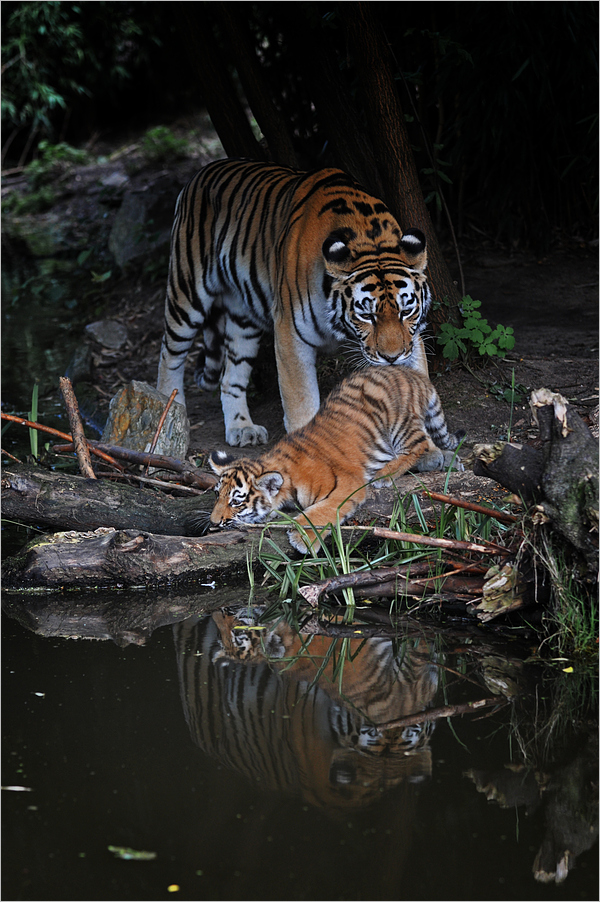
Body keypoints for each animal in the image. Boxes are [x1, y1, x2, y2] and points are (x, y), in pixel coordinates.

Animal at [155, 162, 432, 448]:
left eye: (406, 311)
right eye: (367, 316)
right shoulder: (289, 334)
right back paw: (169, 412)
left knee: (230, 377)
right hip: (187, 293)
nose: (392, 358)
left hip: (244, 320)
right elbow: (302, 405)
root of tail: (202, 171)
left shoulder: (411, 339)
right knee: (169, 356)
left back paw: (242, 428)